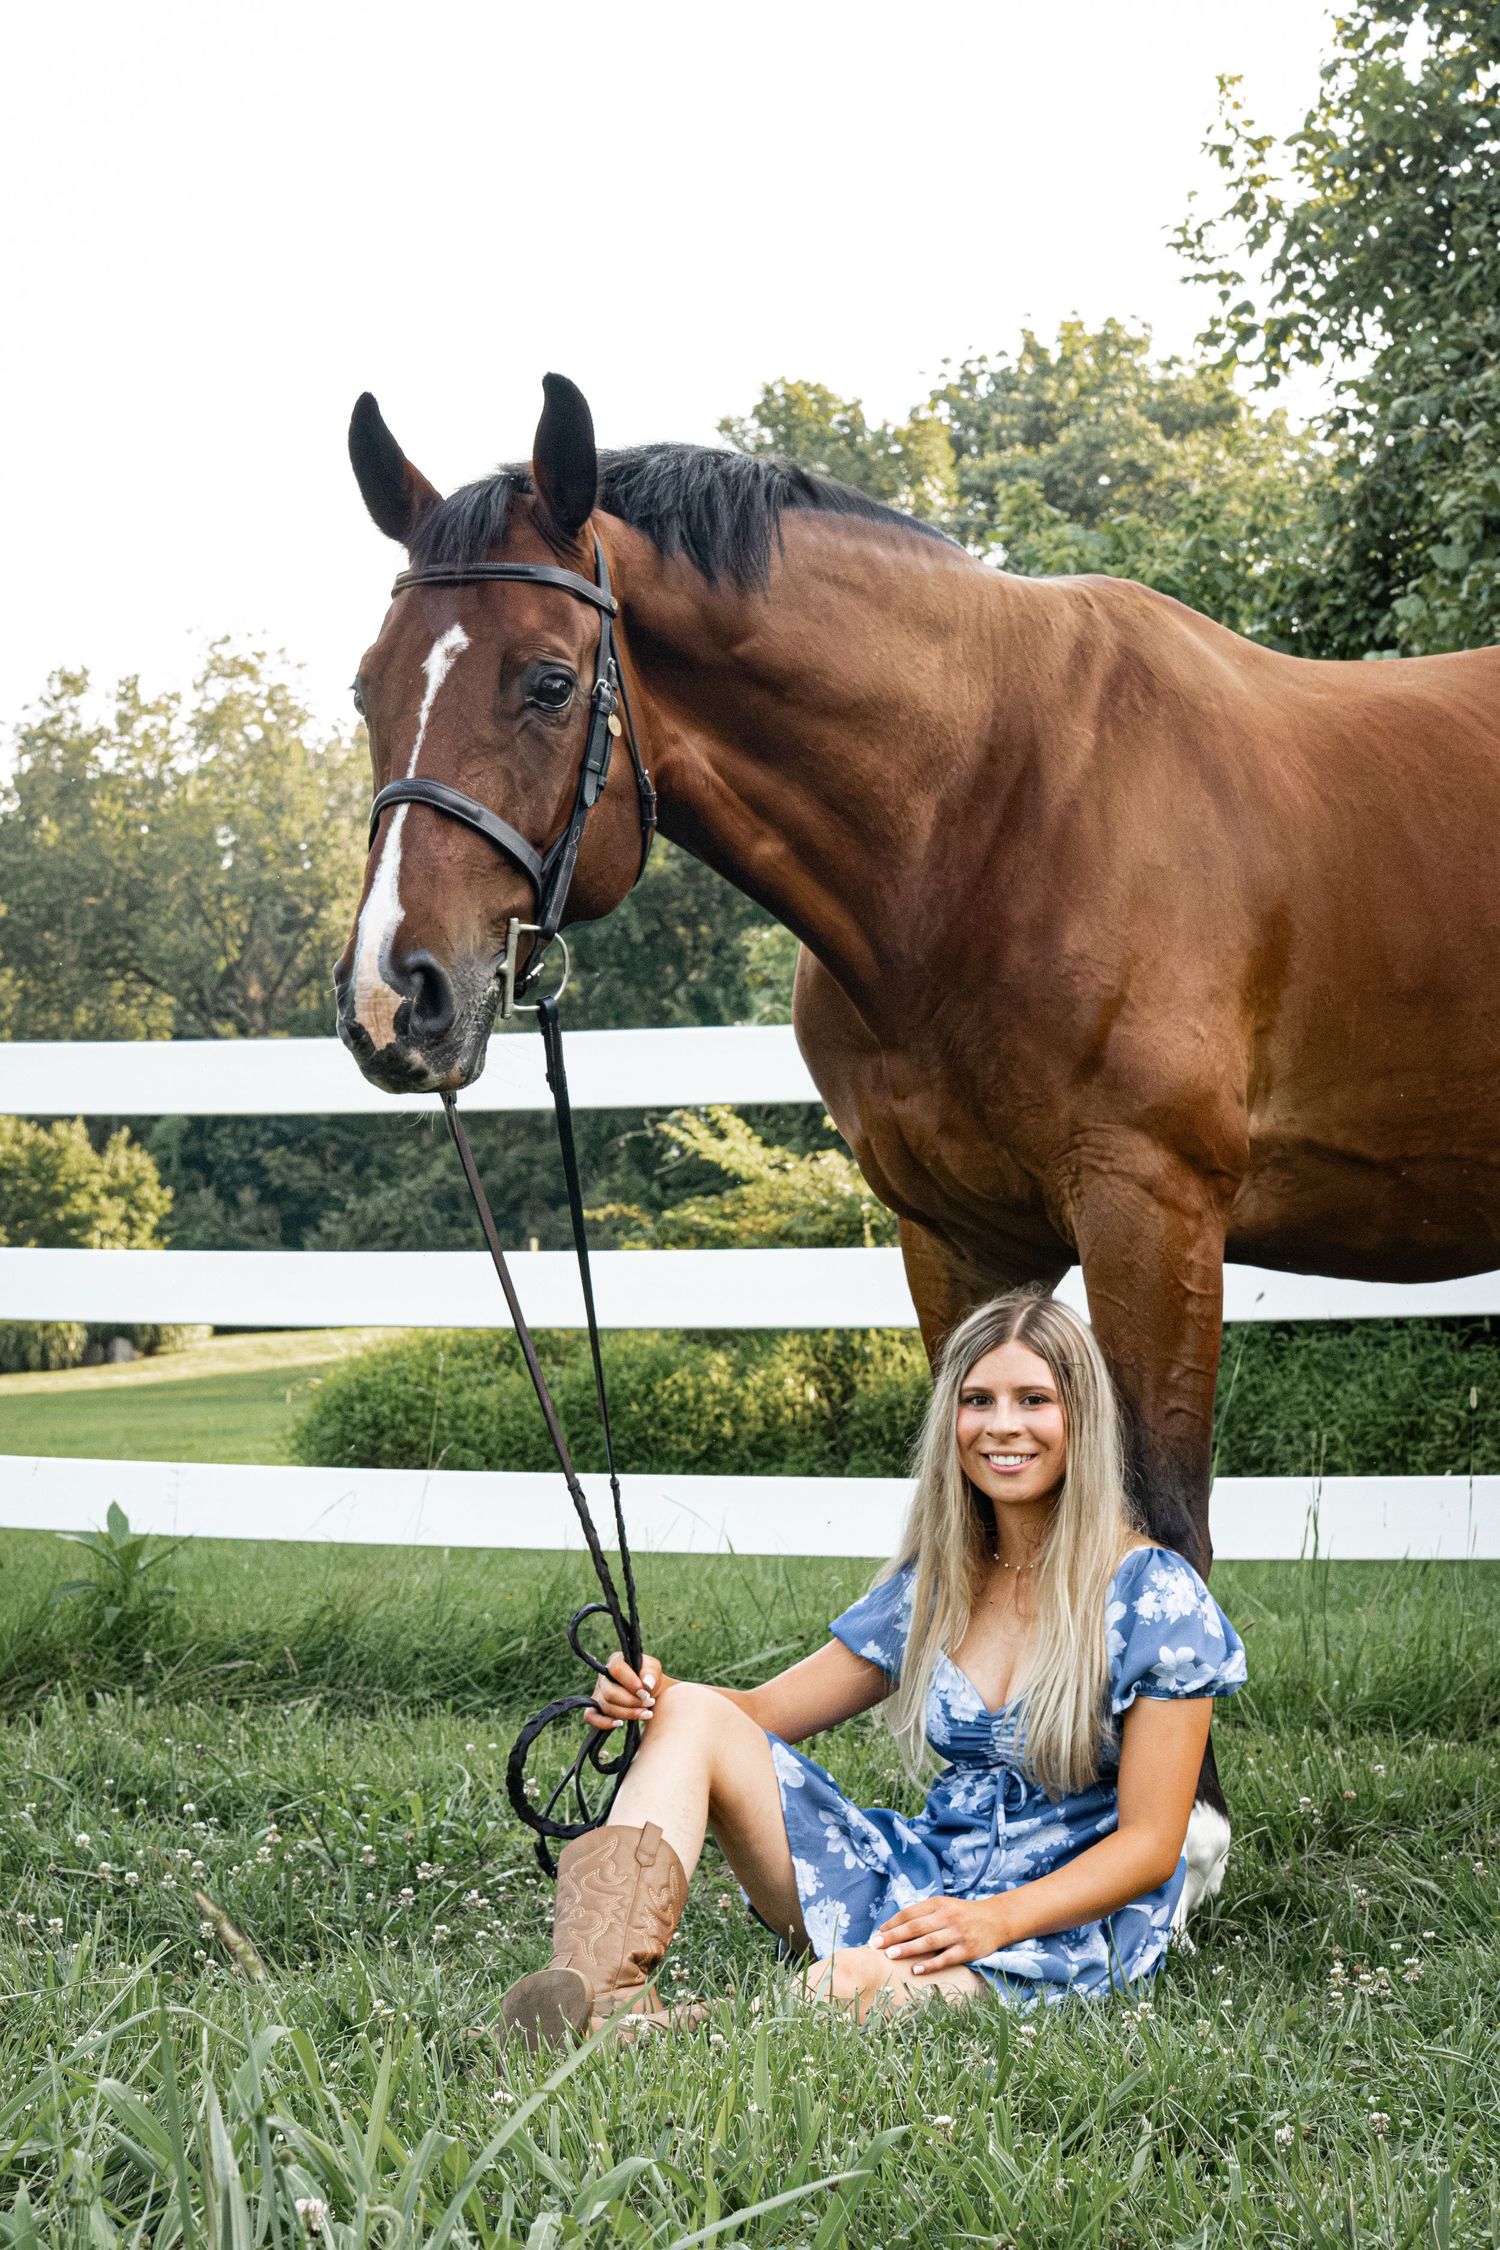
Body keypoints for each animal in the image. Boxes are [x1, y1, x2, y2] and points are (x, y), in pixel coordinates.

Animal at [335, 373, 1500, 1909]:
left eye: (544, 681)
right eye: (369, 686)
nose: (390, 1000)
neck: (991, 811)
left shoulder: (1153, 1205)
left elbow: (1160, 1512)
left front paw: (1180, 1843)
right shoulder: (952, 1232)